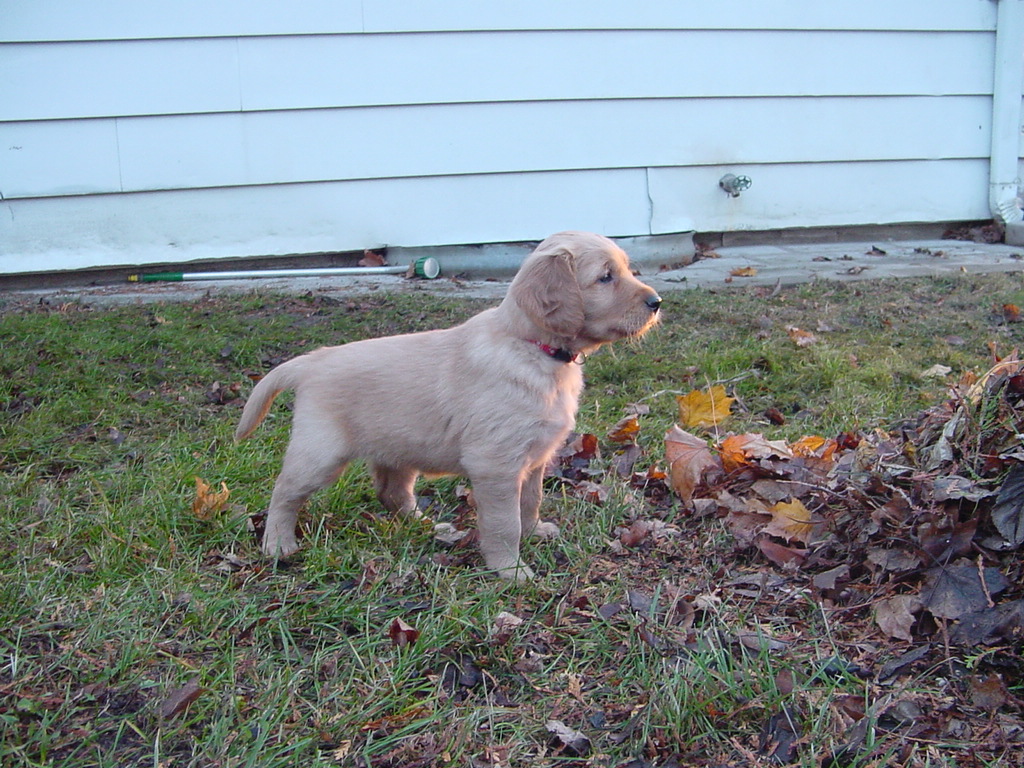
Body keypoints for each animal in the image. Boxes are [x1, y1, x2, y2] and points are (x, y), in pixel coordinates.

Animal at [234, 231, 663, 581]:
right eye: (605, 277)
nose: (657, 302)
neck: (531, 347)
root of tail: (311, 361)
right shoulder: (495, 463)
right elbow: (504, 522)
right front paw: (510, 569)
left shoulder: (535, 458)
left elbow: (531, 502)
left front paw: (535, 531)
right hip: (321, 453)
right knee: (284, 492)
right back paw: (277, 544)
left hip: (397, 448)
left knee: (391, 491)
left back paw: (425, 524)